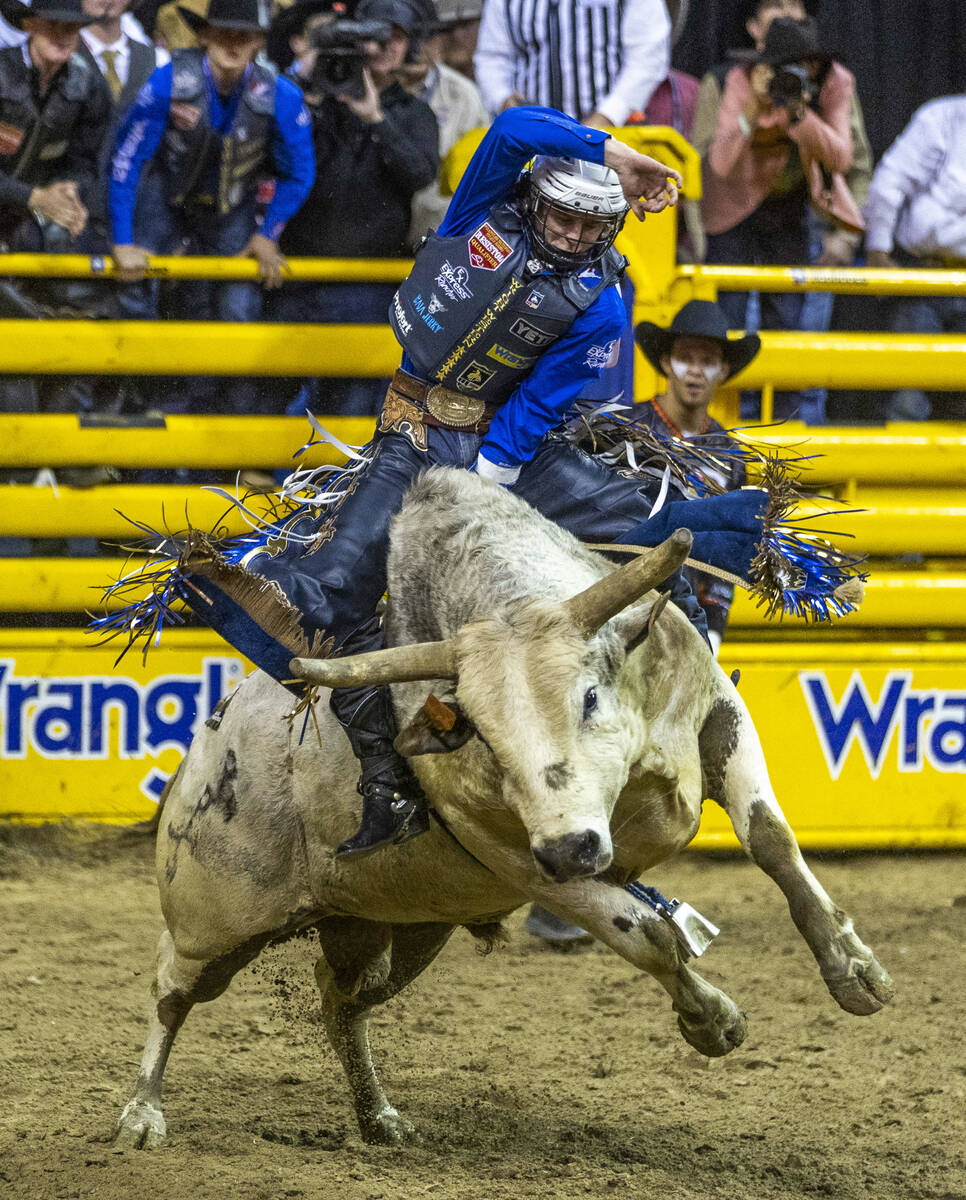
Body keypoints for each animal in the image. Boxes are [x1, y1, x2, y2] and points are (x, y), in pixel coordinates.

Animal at [117, 468, 892, 1152]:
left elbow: (771, 842)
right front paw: (713, 1022)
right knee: (172, 993)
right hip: (212, 913)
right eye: (483, 737)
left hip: (395, 926)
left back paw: (379, 1118)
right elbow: (647, 934)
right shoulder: (524, 861)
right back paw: (142, 1112)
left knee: (342, 1002)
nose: (573, 847)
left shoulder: (719, 715)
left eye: (589, 695)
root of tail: (206, 743)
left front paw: (854, 972)